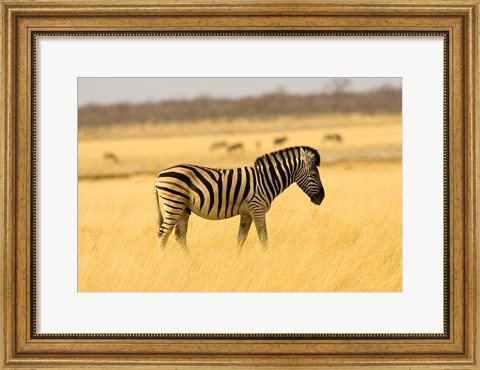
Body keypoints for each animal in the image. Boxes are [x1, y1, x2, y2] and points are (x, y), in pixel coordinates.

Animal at [156, 146, 324, 253]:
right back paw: (163, 260)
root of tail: (160, 174)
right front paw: (267, 257)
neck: (266, 180)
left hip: (183, 208)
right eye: (314, 174)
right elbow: (263, 236)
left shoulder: (247, 212)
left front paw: (236, 259)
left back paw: (188, 260)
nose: (322, 197)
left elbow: (241, 238)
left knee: (180, 236)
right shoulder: (257, 208)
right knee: (163, 234)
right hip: (174, 204)